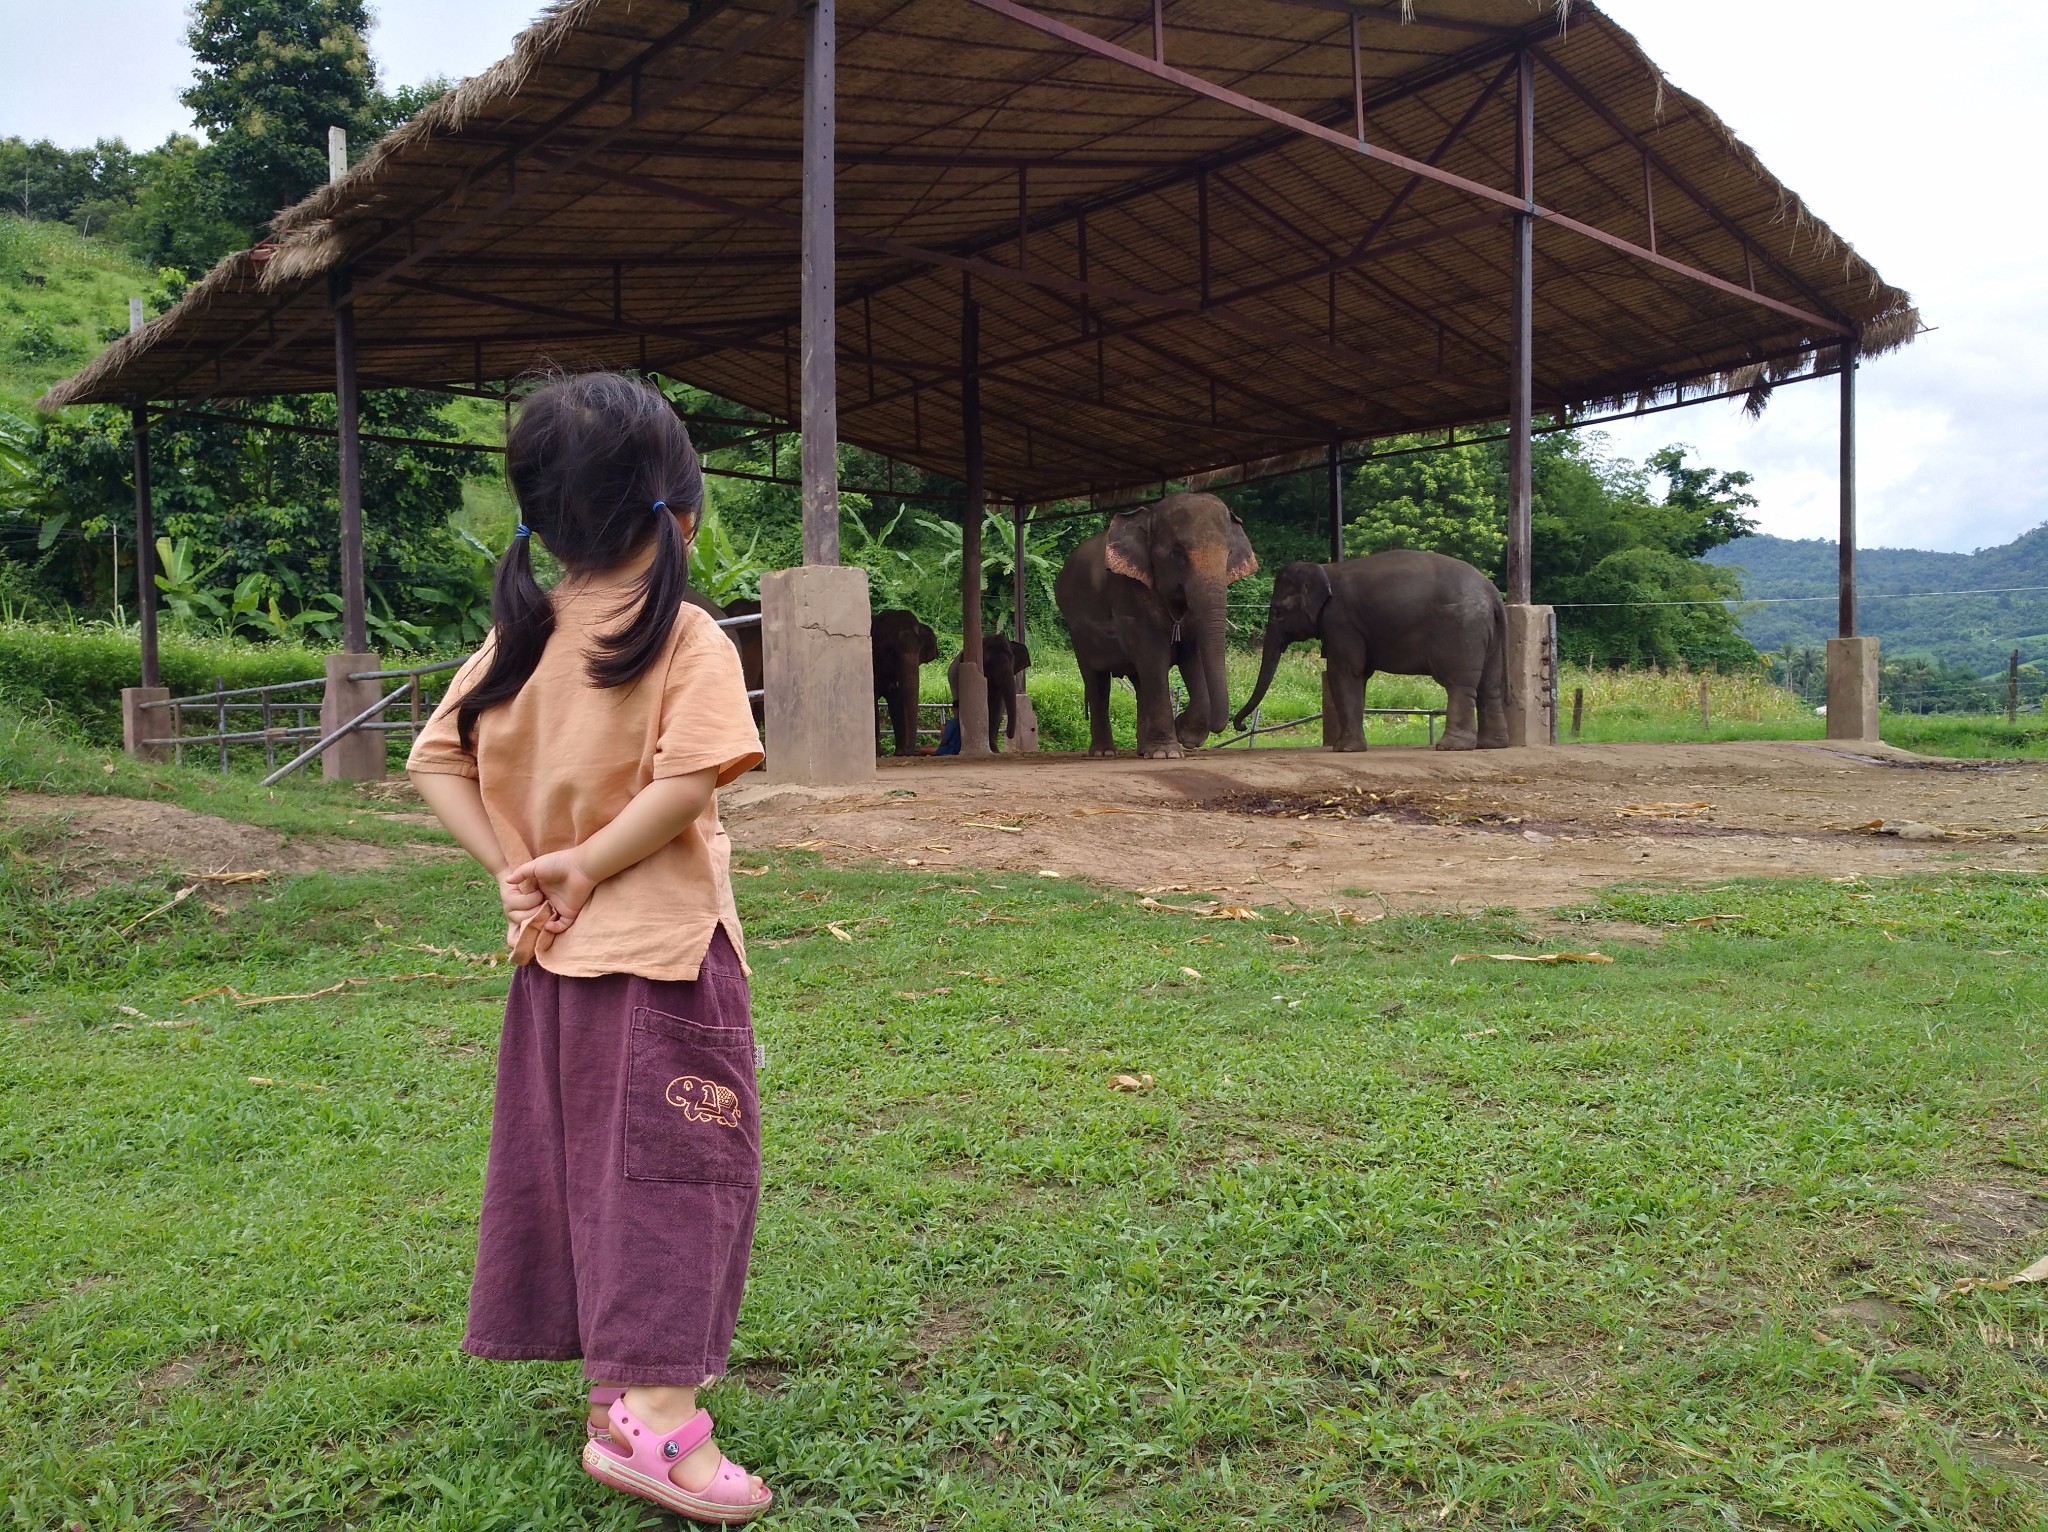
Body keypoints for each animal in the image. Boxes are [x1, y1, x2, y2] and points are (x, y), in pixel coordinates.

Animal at [872, 606, 937, 757]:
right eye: (888, 649)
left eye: (920, 649)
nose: (912, 752)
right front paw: (878, 754)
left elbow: (896, 702)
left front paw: (899, 752)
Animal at [1064, 491, 1253, 761]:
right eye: (1178, 553)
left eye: (1228, 554)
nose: (1242, 725)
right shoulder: (1129, 594)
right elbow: (1154, 657)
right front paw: (1169, 753)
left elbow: (1192, 657)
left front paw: (1185, 736)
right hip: (1077, 632)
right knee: (1096, 680)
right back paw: (1104, 753)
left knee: (1139, 681)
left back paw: (1143, 750)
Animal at [1220, 548, 1515, 749]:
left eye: (1279, 613)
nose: (1241, 724)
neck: (1325, 569)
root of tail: (1492, 593)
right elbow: (1358, 676)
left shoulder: (1340, 621)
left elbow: (1345, 673)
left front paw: (1343, 749)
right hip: (1488, 634)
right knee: (1489, 685)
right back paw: (1492, 744)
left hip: (1460, 631)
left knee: (1459, 685)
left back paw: (1451, 746)